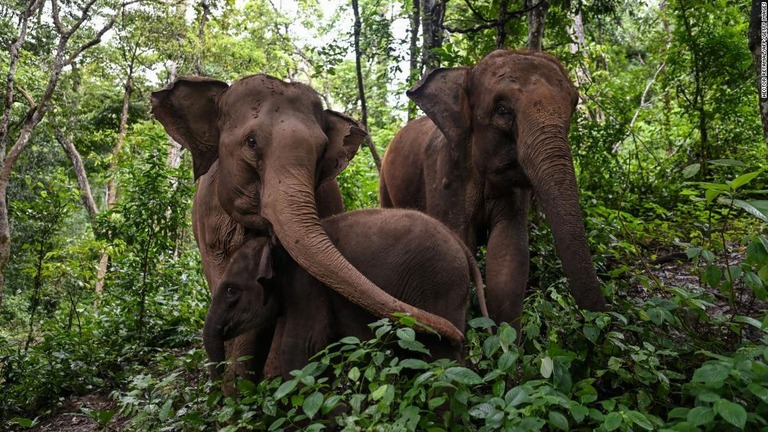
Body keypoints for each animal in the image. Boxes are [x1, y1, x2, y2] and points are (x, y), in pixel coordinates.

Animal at [378, 49, 608, 326]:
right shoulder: (444, 173)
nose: (602, 320)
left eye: (573, 107)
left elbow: (509, 252)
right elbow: (457, 241)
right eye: (502, 109)